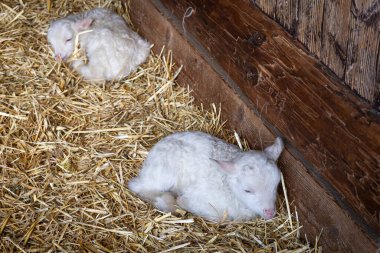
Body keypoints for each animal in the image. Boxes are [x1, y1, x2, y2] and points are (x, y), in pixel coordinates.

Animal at [129, 131, 284, 220]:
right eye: (247, 190)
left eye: (276, 186)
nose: (270, 212)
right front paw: (180, 202)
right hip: (163, 173)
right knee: (140, 188)